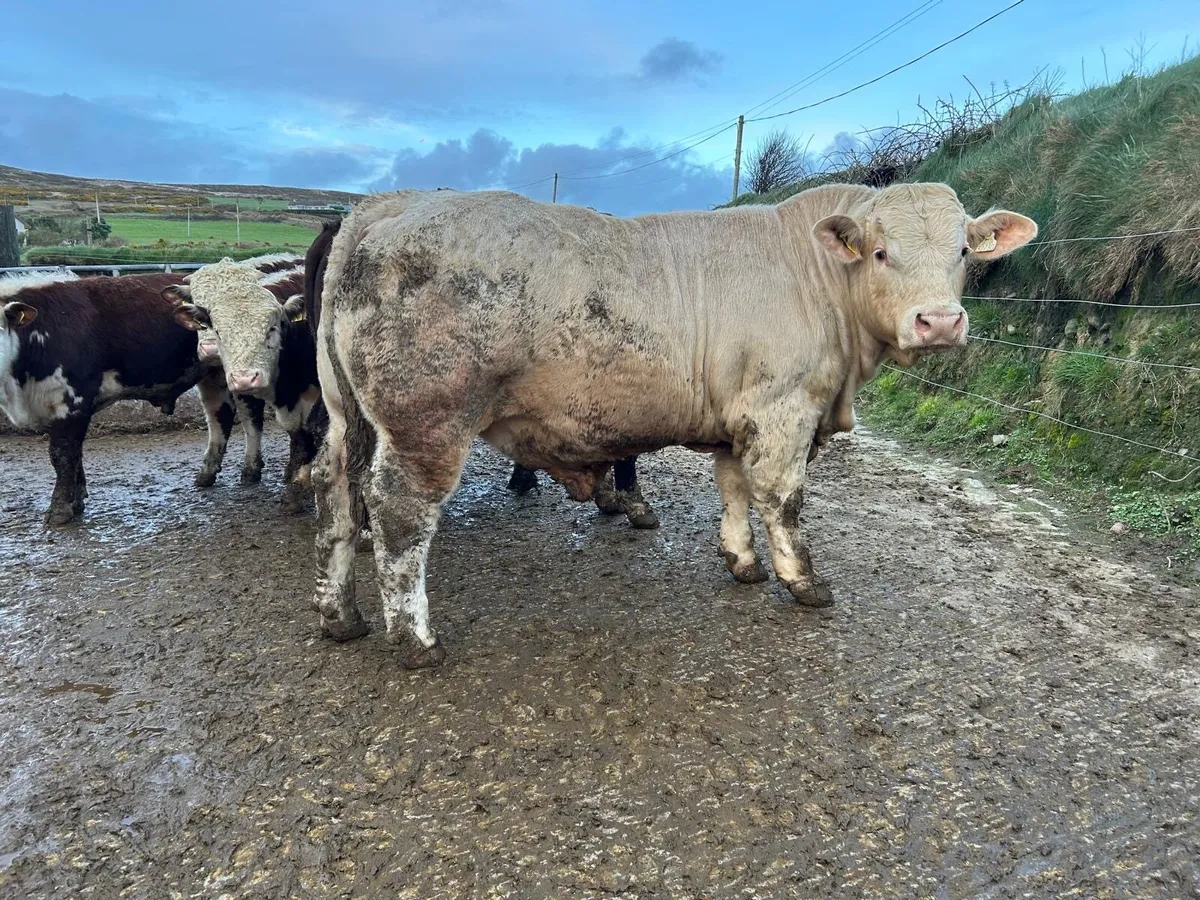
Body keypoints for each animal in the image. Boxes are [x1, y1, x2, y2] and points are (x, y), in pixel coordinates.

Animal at [0, 270, 255, 526]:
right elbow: (74, 456)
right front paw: (77, 501)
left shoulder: (73, 400)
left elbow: (62, 455)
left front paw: (60, 510)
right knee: (219, 415)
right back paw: (206, 474)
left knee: (249, 415)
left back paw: (250, 470)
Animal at [307, 183, 1036, 667]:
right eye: (881, 252)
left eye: (963, 251)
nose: (938, 322)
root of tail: (388, 204)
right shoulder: (782, 409)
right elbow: (783, 499)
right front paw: (803, 581)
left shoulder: (737, 417)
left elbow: (735, 488)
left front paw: (742, 560)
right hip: (427, 420)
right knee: (398, 514)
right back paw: (414, 638)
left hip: (346, 419)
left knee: (337, 498)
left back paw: (340, 615)